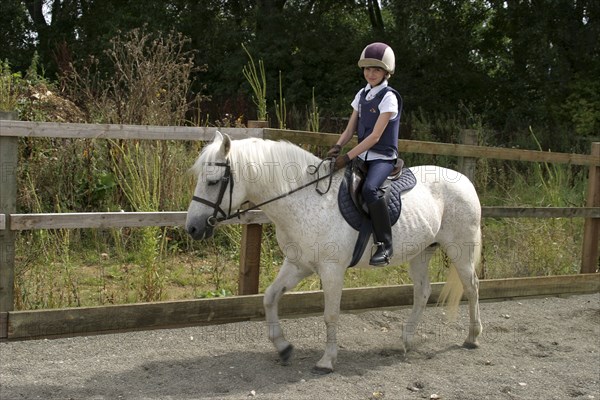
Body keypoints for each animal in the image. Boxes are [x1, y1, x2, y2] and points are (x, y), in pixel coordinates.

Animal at [188, 133, 482, 374]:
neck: (304, 200)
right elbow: (270, 297)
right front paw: (283, 348)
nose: (193, 228)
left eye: (213, 182)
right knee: (422, 292)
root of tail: (465, 181)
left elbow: (330, 314)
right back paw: (406, 340)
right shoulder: (297, 264)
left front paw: (327, 361)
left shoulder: (331, 270)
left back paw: (472, 337)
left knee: (471, 287)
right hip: (420, 253)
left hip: (460, 250)